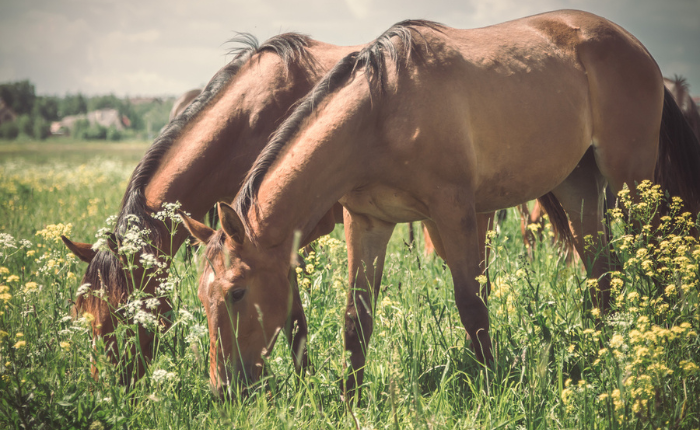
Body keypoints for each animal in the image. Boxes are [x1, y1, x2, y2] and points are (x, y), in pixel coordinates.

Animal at [180, 11, 700, 399]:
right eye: (202, 296)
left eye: (237, 292)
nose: (222, 390)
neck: (380, 113)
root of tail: (637, 48)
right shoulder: (367, 223)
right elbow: (356, 320)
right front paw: (350, 400)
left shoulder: (453, 212)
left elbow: (472, 305)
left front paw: (492, 386)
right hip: (579, 185)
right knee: (601, 272)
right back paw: (600, 349)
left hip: (632, 183)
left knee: (653, 259)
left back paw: (656, 343)